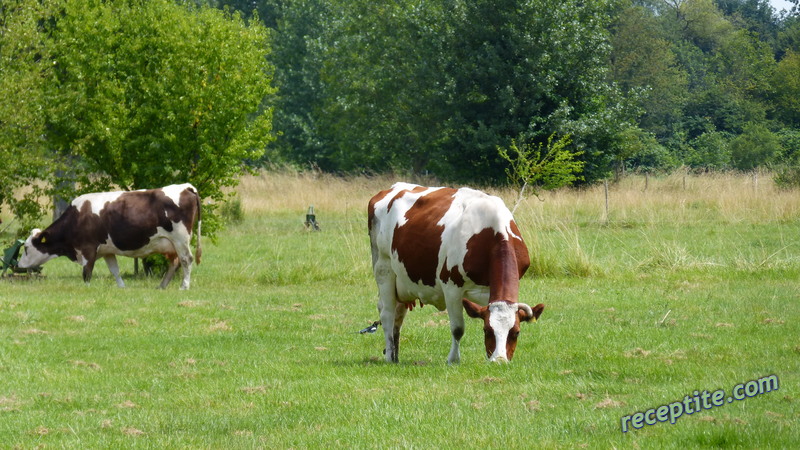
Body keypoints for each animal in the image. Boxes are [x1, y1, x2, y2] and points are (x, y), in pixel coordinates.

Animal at [18, 185, 202, 290]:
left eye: (26, 248)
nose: (18, 265)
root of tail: (186, 187)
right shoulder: (107, 250)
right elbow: (115, 270)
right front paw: (122, 287)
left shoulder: (88, 248)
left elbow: (87, 271)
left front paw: (87, 288)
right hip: (171, 245)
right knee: (174, 263)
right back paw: (162, 286)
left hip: (180, 239)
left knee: (186, 260)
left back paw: (184, 286)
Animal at [368, 181, 544, 364]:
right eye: (487, 330)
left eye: (516, 332)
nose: (499, 360)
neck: (492, 233)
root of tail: (393, 187)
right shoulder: (451, 287)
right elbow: (458, 328)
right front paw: (453, 359)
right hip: (383, 268)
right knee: (387, 314)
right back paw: (389, 356)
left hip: (403, 282)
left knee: (398, 315)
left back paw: (395, 356)